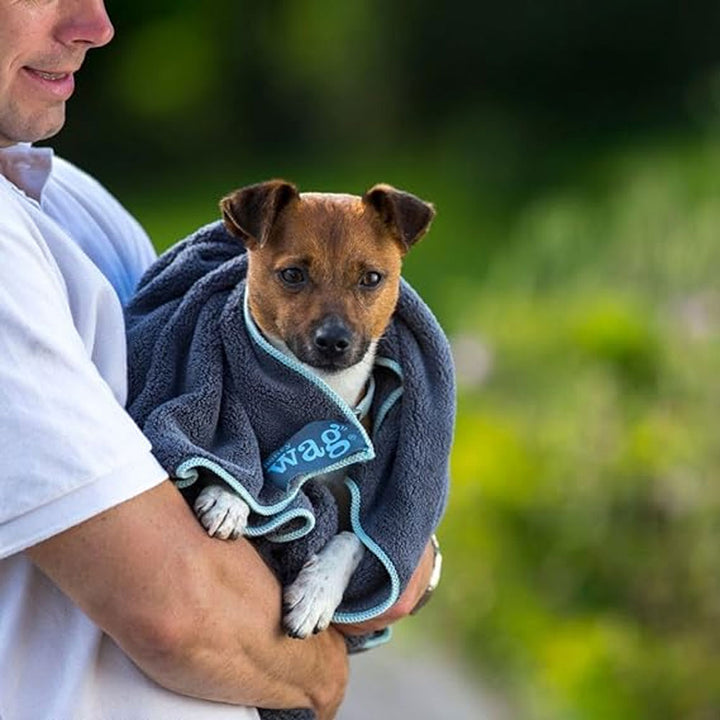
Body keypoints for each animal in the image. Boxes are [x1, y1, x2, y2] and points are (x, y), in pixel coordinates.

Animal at [191, 179, 434, 636]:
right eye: (293, 274)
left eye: (371, 278)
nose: (334, 340)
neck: (324, 393)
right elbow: (245, 453)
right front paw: (230, 496)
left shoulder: (368, 507)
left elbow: (354, 538)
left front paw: (315, 593)